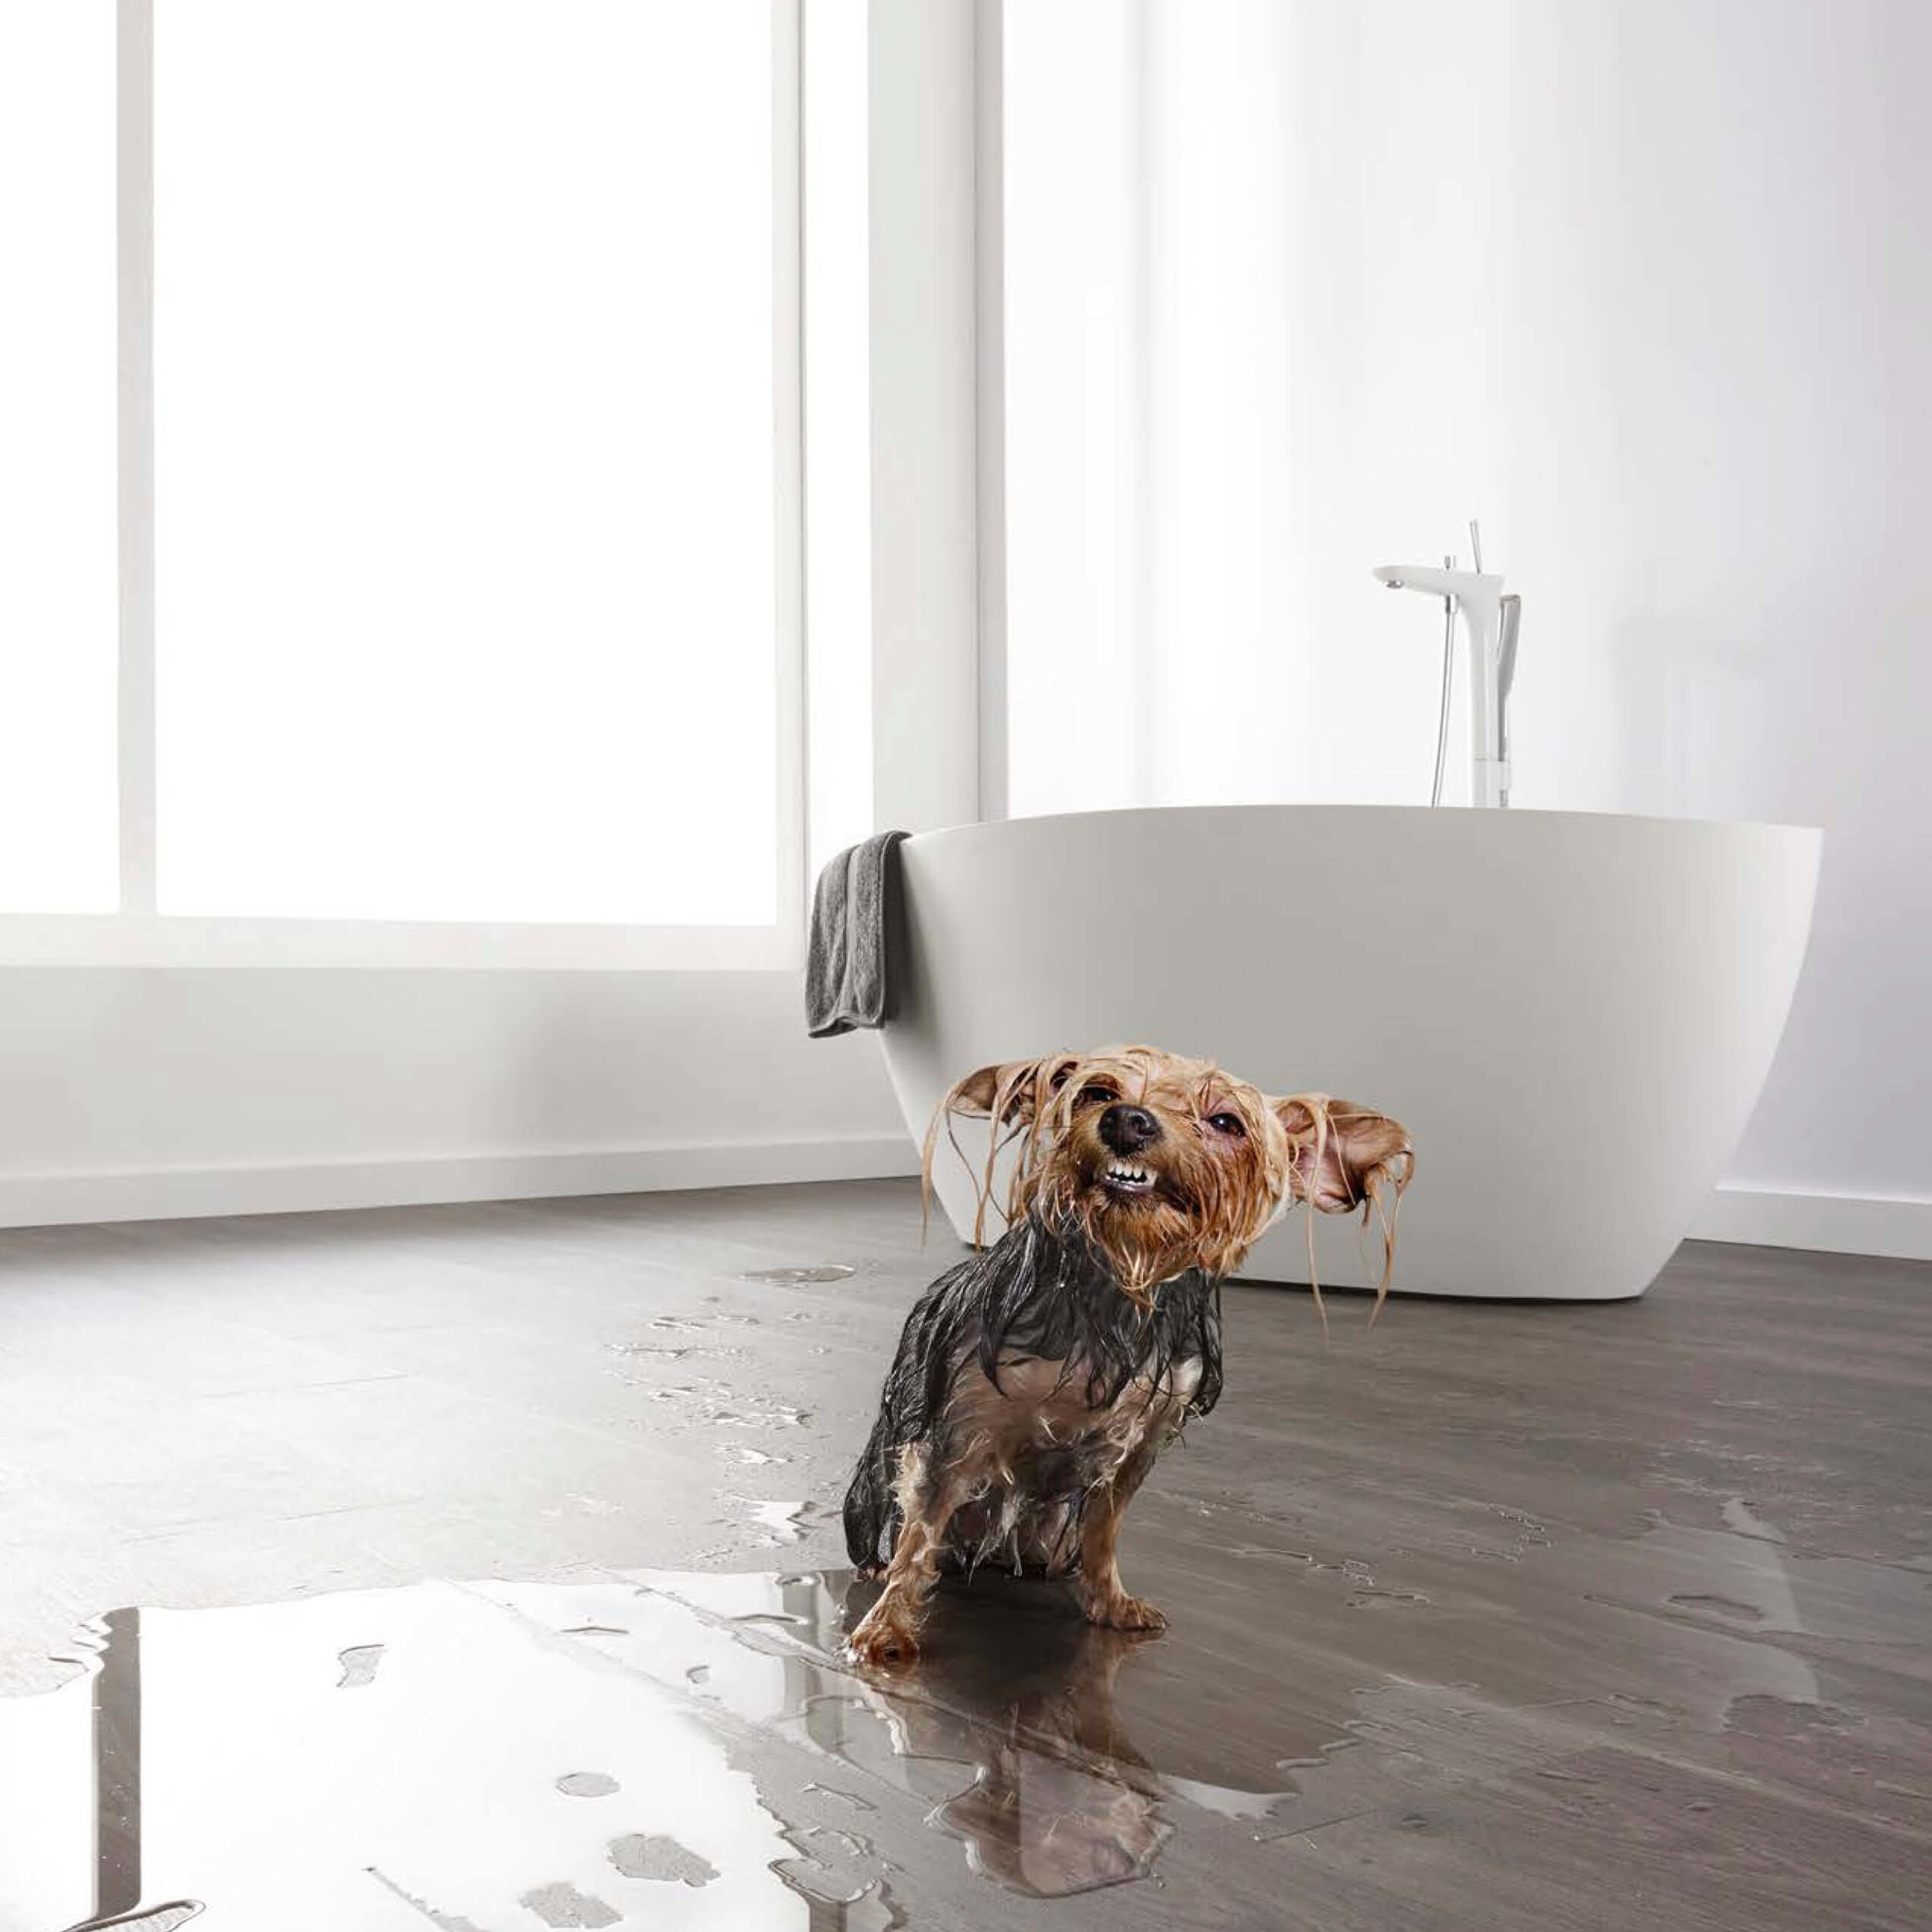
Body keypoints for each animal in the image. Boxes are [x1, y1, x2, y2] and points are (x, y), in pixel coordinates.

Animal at [838, 1051, 1414, 1669]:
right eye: (1096, 1093)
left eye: (1227, 1122)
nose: (1128, 1120)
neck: (1118, 1284)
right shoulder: (960, 1430)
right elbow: (919, 1536)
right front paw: (885, 1628)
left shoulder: (1139, 1440)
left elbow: (1103, 1533)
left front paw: (1111, 1603)